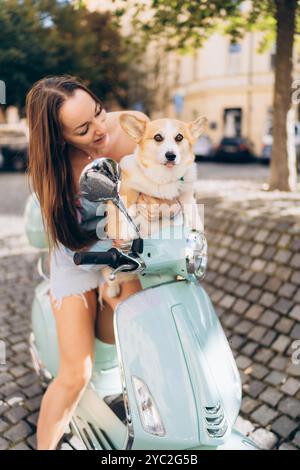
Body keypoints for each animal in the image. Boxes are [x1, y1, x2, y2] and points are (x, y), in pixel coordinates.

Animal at [102, 113, 207, 298]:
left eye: (179, 137)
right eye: (158, 137)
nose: (171, 155)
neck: (164, 177)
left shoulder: (186, 194)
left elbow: (192, 210)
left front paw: (198, 234)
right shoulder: (126, 187)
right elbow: (126, 207)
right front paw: (127, 231)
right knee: (109, 275)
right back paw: (113, 289)